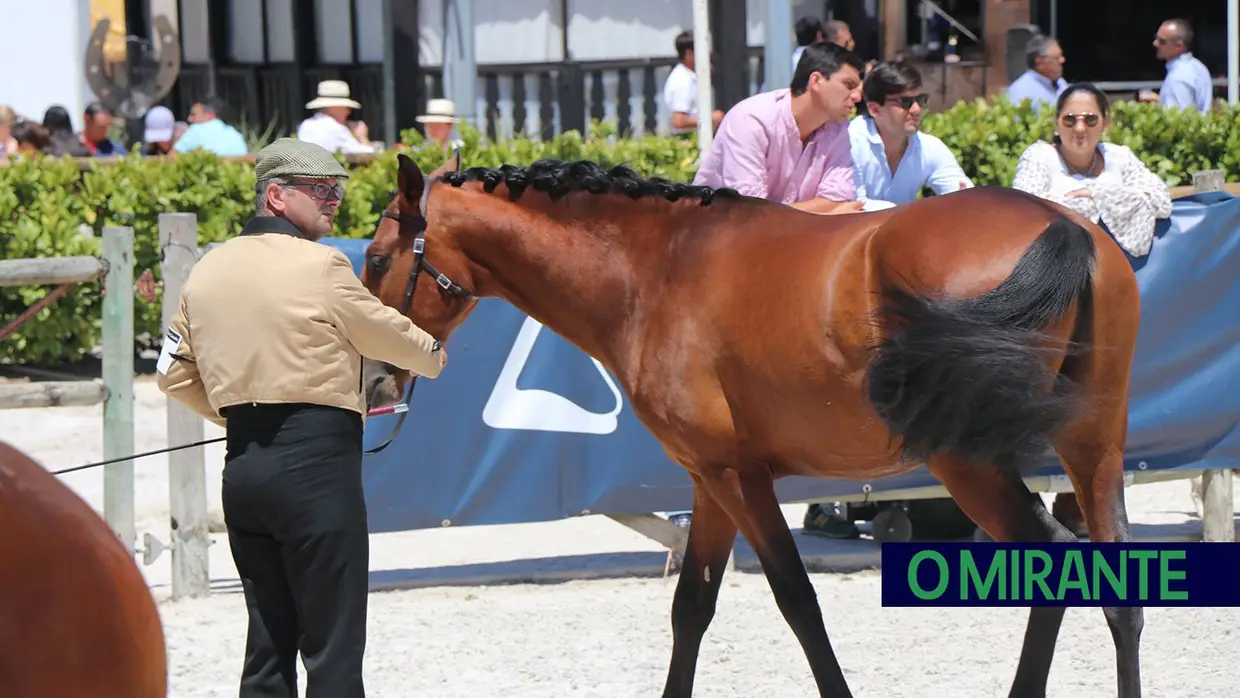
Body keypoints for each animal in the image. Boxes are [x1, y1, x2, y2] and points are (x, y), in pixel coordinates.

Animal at [359, 154, 1140, 698]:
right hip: (1092, 449)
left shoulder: (738, 476)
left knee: (1054, 559)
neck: (656, 271)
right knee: (1116, 591)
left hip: (969, 464)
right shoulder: (709, 478)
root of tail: (1063, 225)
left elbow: (795, 600)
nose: (372, 382)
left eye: (374, 257)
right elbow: (692, 605)